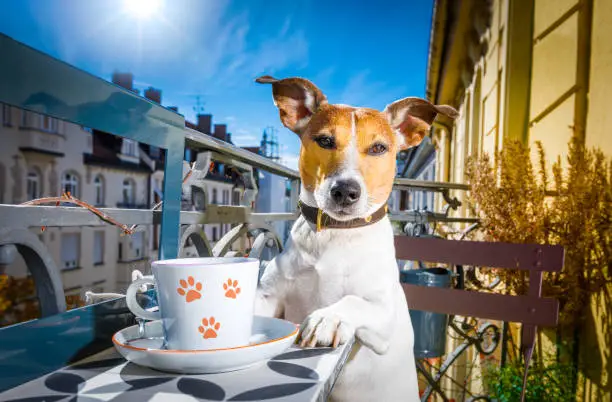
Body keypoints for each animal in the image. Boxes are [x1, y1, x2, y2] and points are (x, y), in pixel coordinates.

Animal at [251, 76, 456, 402]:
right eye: (325, 141)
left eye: (379, 147)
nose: (345, 191)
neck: (337, 233)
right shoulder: (269, 297)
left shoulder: (383, 315)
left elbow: (353, 300)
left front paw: (327, 318)